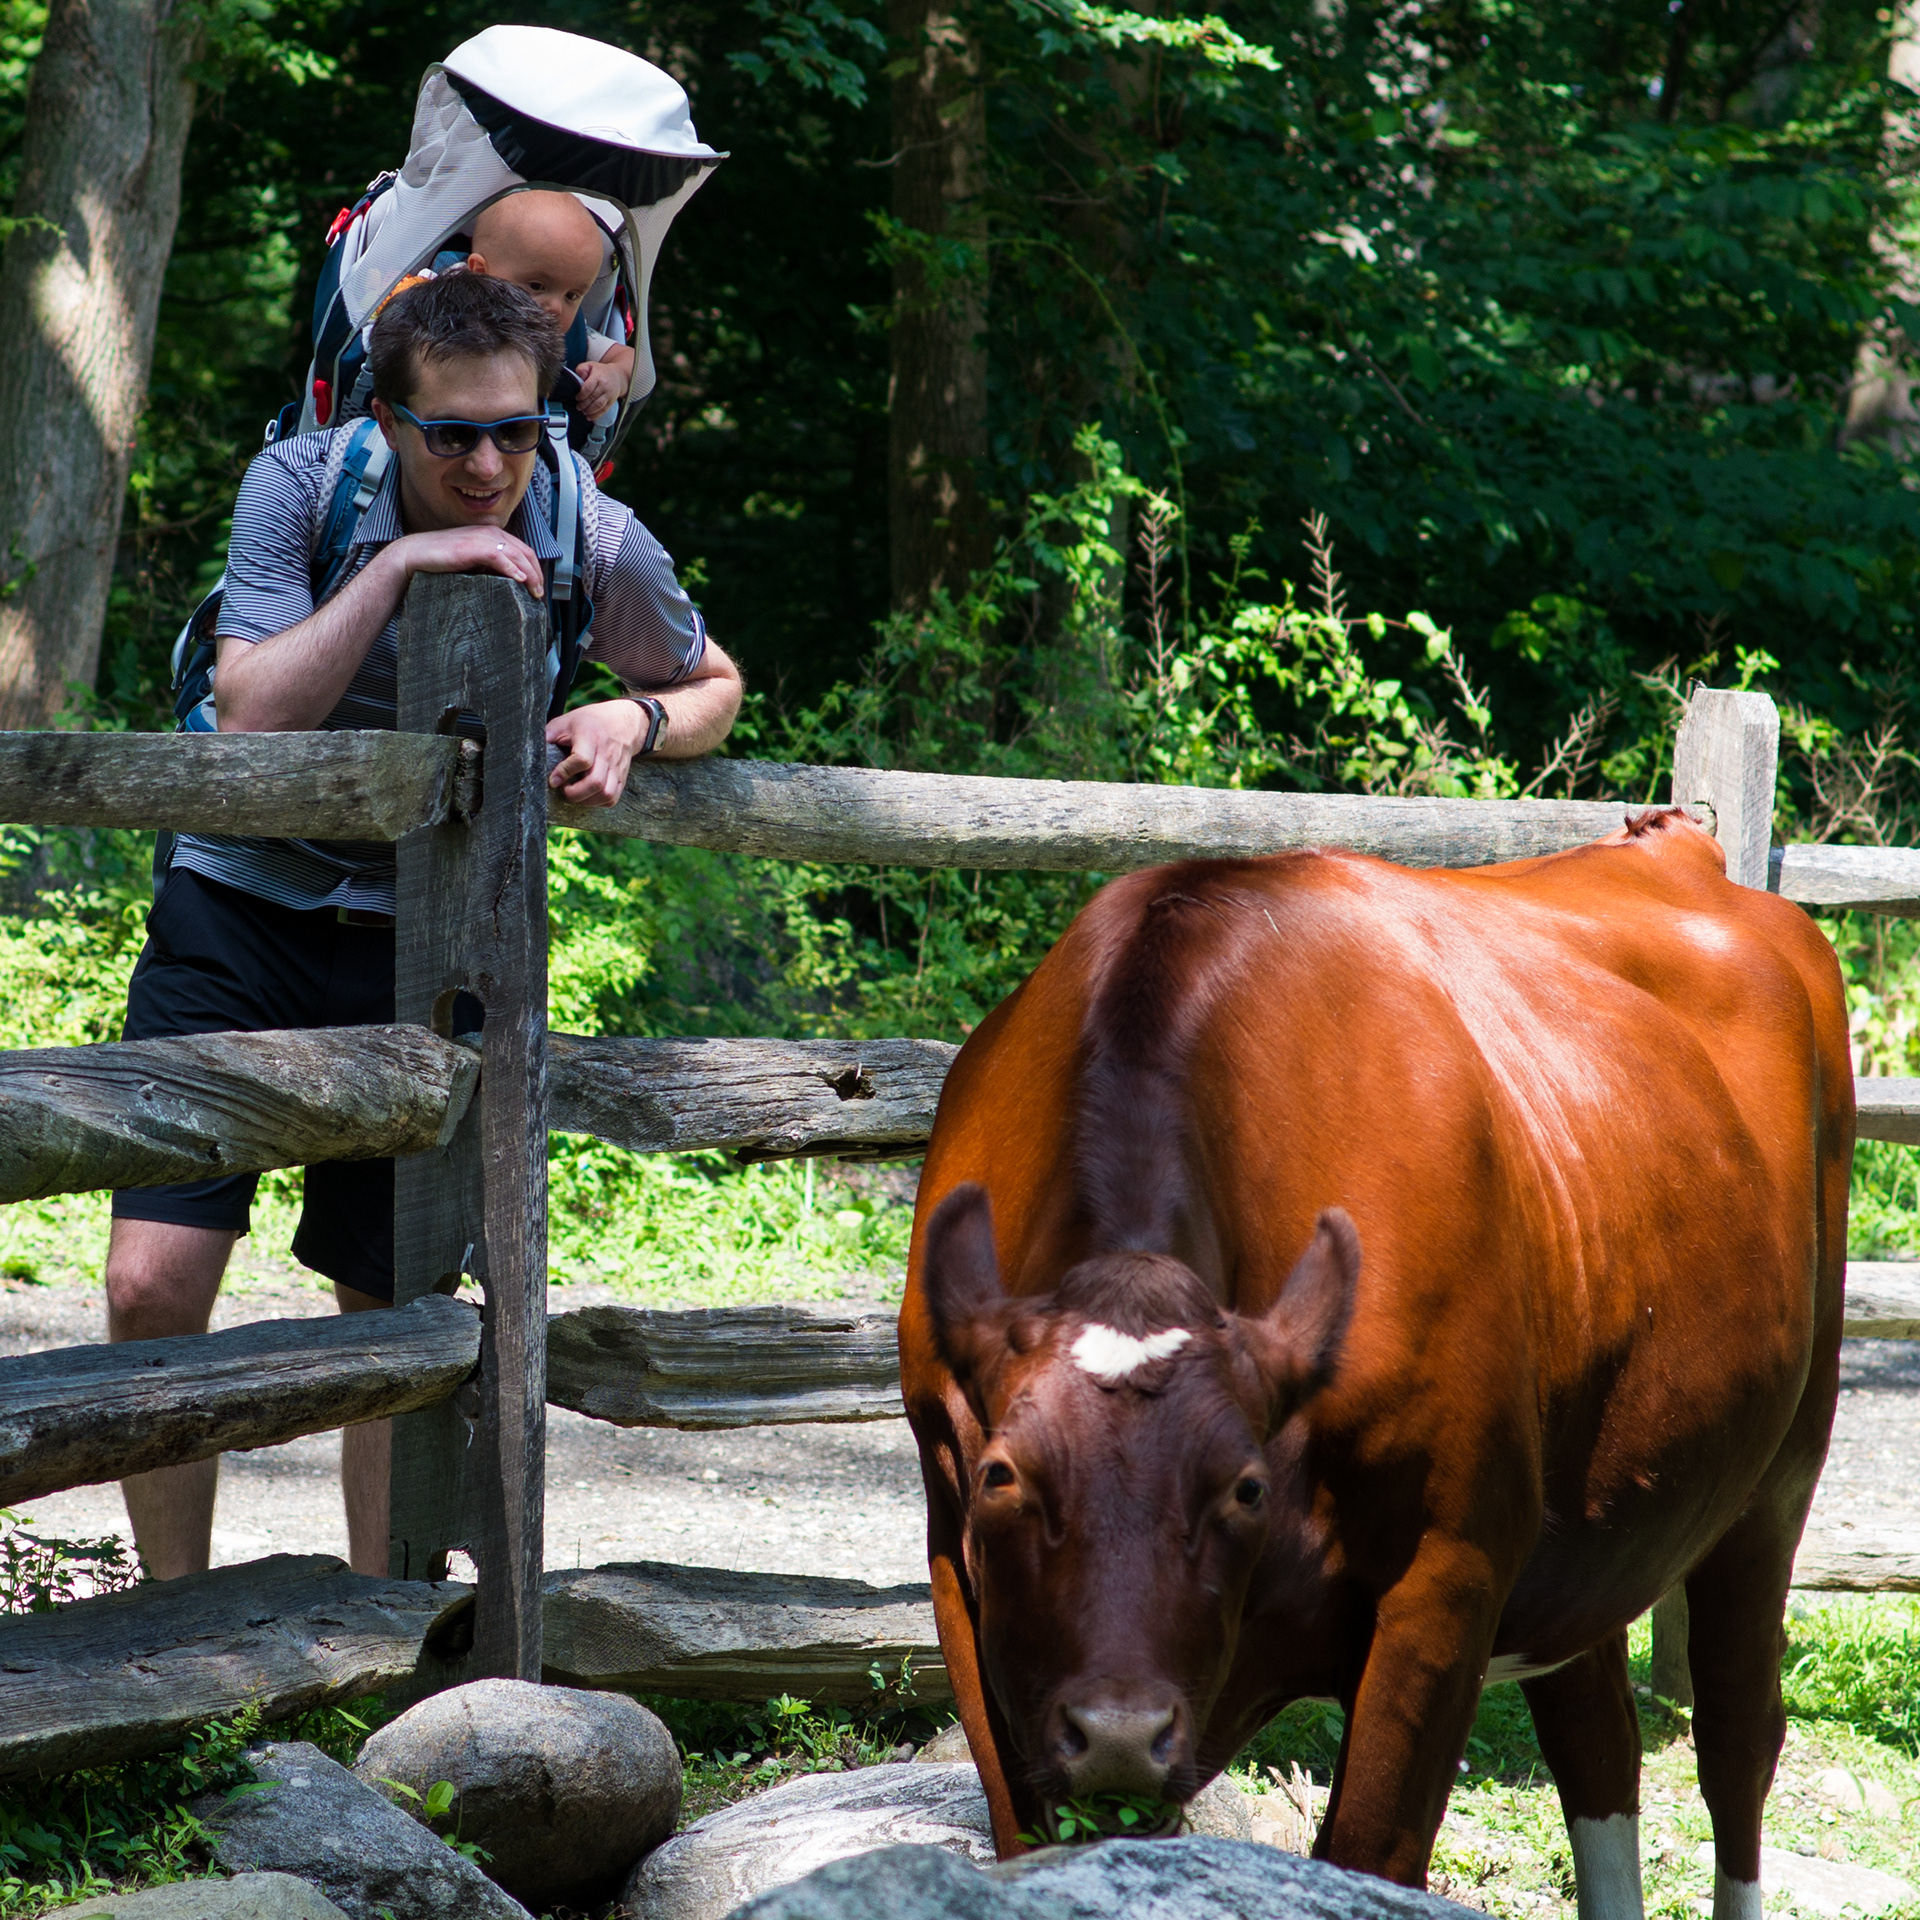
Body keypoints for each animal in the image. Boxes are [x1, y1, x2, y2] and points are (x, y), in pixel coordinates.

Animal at [898, 810, 1851, 1920]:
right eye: (1002, 1475)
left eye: (1246, 1486)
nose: (1122, 1734)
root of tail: (1672, 841)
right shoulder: (962, 1572)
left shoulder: (1448, 1569)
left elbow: (1366, 1859)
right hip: (1591, 1508)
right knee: (1597, 1738)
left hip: (1780, 1468)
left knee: (1737, 1736)